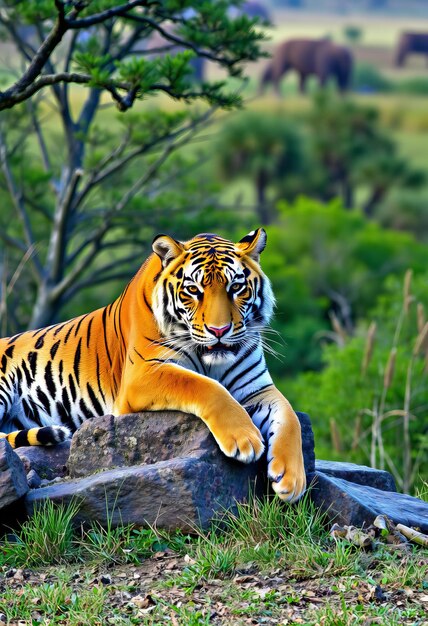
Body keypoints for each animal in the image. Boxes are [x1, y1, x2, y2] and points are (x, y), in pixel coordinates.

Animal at [0, 229, 308, 502]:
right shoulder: (144, 373)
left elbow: (289, 416)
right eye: (193, 290)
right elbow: (206, 386)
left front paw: (292, 480)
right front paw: (244, 439)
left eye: (236, 287)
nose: (219, 330)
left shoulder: (255, 388)